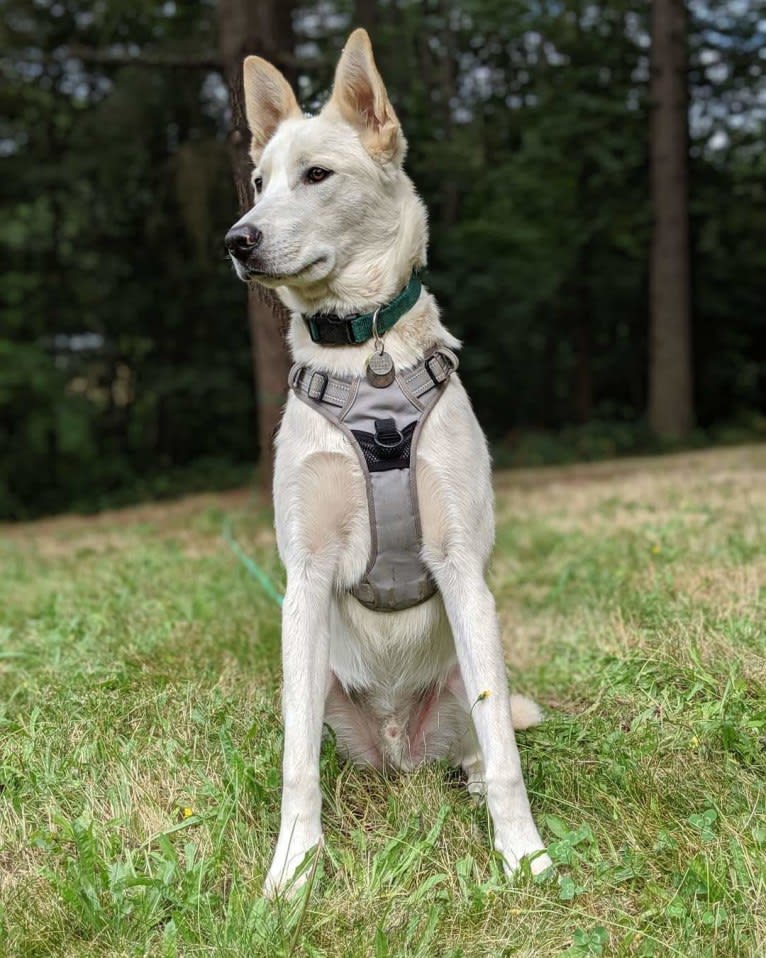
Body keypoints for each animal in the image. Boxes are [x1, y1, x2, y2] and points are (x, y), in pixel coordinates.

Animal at [224, 30, 552, 900]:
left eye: (317, 176)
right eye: (259, 183)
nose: (238, 239)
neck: (365, 356)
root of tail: (402, 752)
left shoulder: (463, 569)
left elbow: (505, 755)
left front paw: (524, 854)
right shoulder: (303, 580)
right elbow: (295, 767)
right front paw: (293, 871)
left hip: (473, 668)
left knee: (483, 739)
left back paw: (470, 780)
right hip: (316, 683)